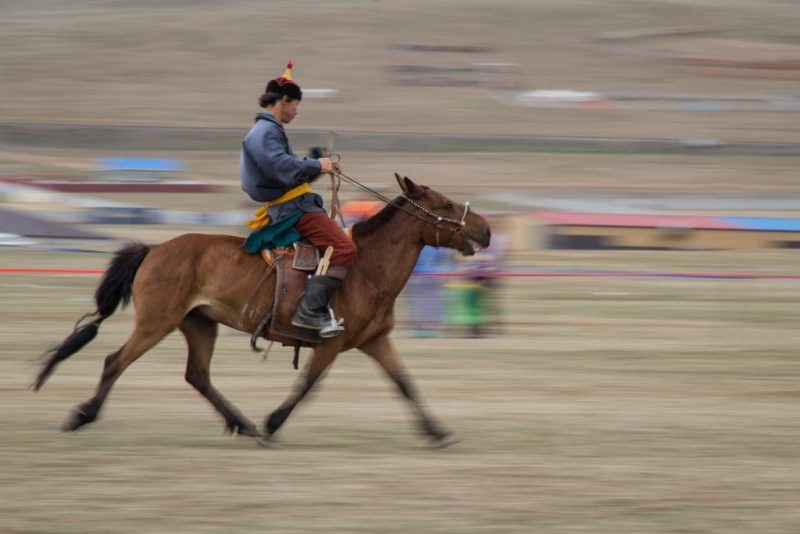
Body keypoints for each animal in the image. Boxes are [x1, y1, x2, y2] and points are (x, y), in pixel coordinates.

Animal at [34, 177, 490, 448]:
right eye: (445, 205)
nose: (485, 230)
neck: (367, 269)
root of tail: (154, 249)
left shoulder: (375, 341)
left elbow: (404, 384)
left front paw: (436, 432)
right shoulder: (331, 344)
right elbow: (306, 386)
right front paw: (273, 423)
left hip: (199, 324)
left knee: (197, 376)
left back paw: (242, 423)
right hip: (156, 322)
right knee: (116, 361)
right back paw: (83, 415)